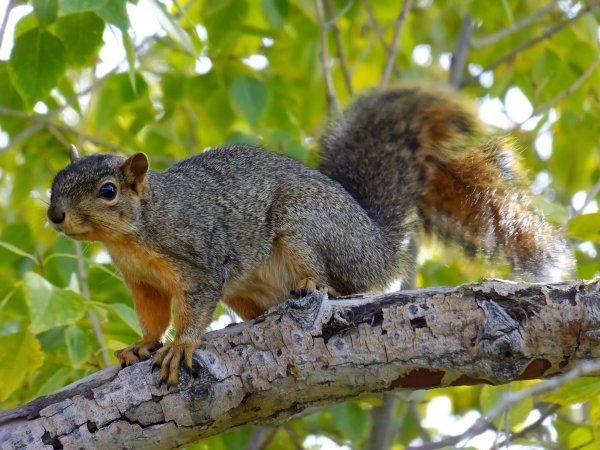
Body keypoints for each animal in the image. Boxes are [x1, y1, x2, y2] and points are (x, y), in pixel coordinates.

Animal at [48, 89, 576, 386]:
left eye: (108, 191)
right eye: (56, 179)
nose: (54, 216)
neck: (135, 233)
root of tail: (376, 244)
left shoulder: (199, 257)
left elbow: (195, 306)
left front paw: (182, 345)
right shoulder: (142, 282)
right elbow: (152, 316)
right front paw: (143, 343)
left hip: (306, 226)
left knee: (339, 284)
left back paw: (312, 286)